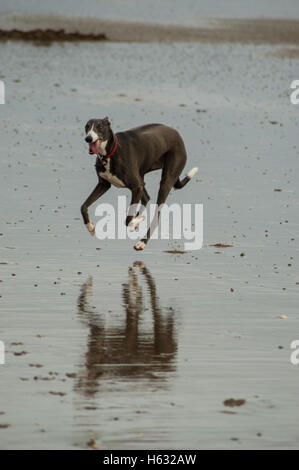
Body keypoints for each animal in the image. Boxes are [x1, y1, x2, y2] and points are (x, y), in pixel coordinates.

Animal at [82, 117, 199, 250]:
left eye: (100, 126)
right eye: (87, 126)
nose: (88, 138)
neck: (111, 152)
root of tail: (177, 134)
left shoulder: (136, 187)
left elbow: (127, 219)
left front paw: (135, 221)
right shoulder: (104, 185)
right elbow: (83, 206)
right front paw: (90, 227)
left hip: (166, 180)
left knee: (156, 214)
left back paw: (142, 241)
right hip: (142, 177)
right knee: (146, 198)